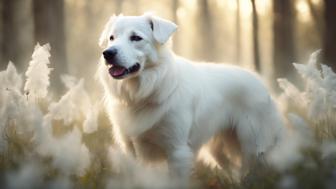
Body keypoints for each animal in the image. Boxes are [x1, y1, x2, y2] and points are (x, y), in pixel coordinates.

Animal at [97, 13, 284, 180]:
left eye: (136, 38)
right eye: (112, 38)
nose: (107, 53)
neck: (146, 90)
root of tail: (262, 83)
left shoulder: (177, 151)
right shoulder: (130, 149)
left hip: (253, 145)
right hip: (220, 150)